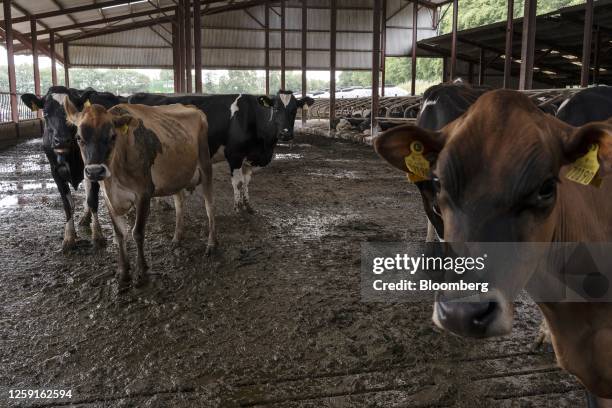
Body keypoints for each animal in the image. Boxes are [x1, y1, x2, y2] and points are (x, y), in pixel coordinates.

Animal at [21, 87, 124, 250]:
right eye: (46, 113)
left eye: (75, 112)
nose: (62, 140)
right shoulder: (56, 172)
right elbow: (68, 205)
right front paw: (69, 237)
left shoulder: (94, 167)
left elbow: (93, 200)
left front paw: (98, 236)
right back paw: (85, 218)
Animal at [63, 99, 216, 290]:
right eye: (78, 138)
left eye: (113, 136)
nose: (95, 171)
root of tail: (191, 107)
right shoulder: (108, 198)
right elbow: (120, 234)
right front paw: (123, 272)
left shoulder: (143, 194)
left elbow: (137, 232)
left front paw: (141, 273)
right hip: (177, 176)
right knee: (180, 203)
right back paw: (177, 238)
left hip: (206, 164)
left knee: (209, 206)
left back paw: (211, 244)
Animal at [126, 90, 314, 212]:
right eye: (275, 109)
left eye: (294, 110)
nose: (285, 134)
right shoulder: (234, 155)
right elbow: (238, 183)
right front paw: (238, 208)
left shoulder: (249, 158)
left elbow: (246, 182)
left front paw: (248, 205)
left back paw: (160, 204)